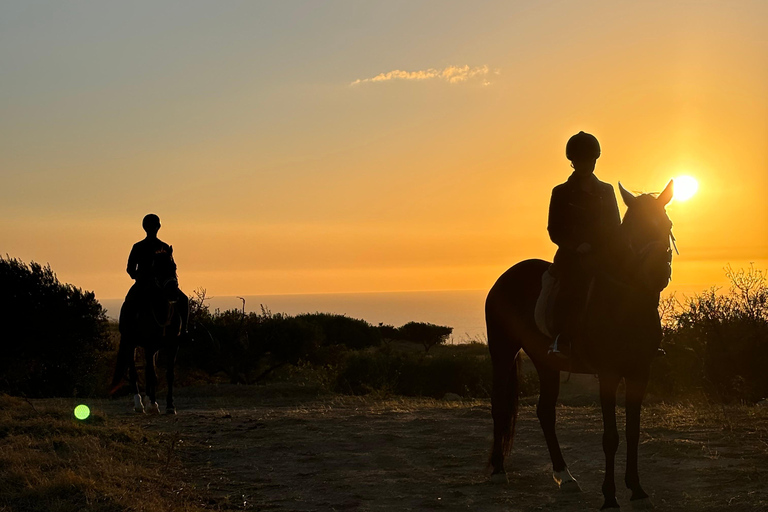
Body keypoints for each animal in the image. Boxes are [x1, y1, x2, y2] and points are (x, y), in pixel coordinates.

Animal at [110, 247, 187, 415]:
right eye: (157, 269)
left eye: (174, 266)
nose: (173, 293)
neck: (161, 311)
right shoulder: (149, 346)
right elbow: (152, 375)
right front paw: (153, 405)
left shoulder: (172, 346)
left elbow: (167, 374)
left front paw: (170, 406)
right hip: (130, 343)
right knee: (133, 372)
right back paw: (139, 404)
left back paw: (146, 399)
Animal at [486, 180, 674, 510]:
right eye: (633, 229)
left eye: (667, 225)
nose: (657, 274)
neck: (627, 303)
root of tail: (505, 277)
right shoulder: (608, 373)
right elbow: (611, 437)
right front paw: (610, 497)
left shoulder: (640, 372)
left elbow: (633, 432)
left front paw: (637, 490)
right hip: (502, 352)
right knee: (499, 405)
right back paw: (498, 471)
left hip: (545, 361)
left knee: (545, 412)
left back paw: (566, 476)